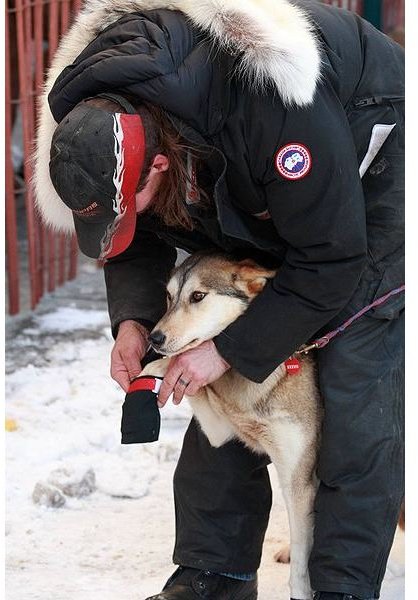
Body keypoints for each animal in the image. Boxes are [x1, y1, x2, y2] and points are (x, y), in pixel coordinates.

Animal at [140, 253, 320, 600]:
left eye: (198, 296)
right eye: (169, 296)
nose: (154, 338)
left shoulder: (298, 479)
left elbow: (302, 572)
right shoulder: (219, 430)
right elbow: (184, 368)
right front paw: (155, 370)